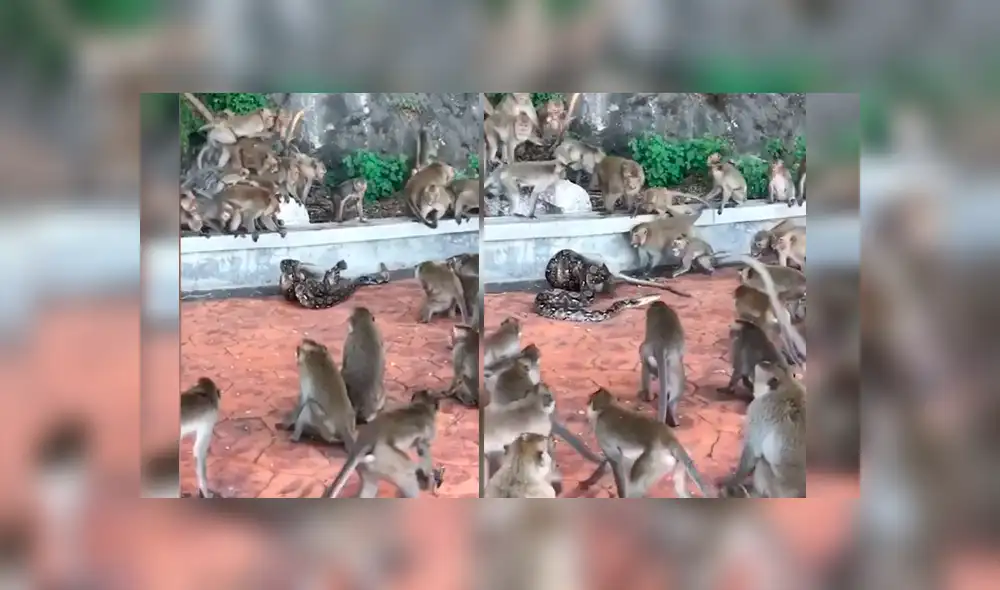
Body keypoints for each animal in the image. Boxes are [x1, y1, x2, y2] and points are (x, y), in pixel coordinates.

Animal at [583, 388, 716, 498]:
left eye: (590, 399)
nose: (587, 402)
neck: (607, 408)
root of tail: (668, 438)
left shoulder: (601, 432)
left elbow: (615, 460)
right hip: (674, 463)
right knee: (680, 487)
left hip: (655, 460)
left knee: (635, 485)